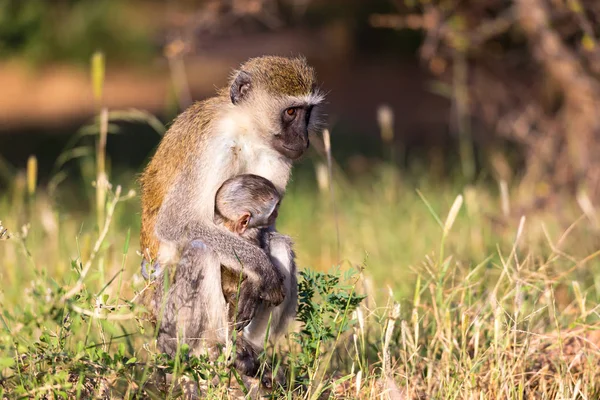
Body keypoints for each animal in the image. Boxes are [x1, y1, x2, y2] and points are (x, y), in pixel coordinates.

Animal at [140, 56, 324, 362]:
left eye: (307, 113)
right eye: (291, 112)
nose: (303, 139)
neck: (245, 130)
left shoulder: (277, 155)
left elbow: (267, 227)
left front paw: (253, 281)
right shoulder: (213, 144)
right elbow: (175, 223)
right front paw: (261, 269)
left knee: (279, 243)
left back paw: (249, 352)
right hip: (166, 317)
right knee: (201, 250)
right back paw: (211, 350)